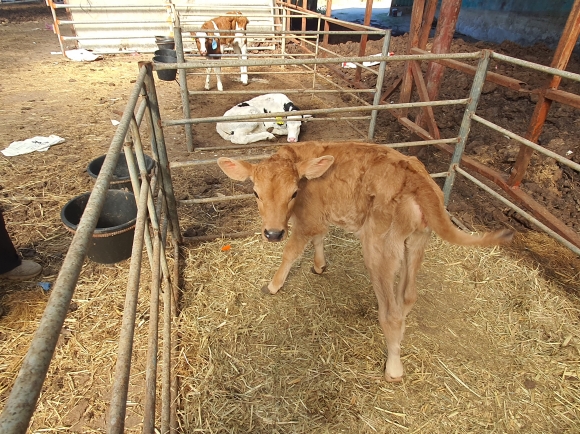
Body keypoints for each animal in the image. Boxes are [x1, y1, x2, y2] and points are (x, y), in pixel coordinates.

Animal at [216, 141, 512, 382]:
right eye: (256, 193)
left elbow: (291, 252)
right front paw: (319, 265)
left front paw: (274, 285)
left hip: (379, 248)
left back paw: (394, 367)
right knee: (408, 295)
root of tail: (415, 176)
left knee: (391, 314)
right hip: (416, 241)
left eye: (293, 193)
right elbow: (320, 239)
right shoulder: (319, 218)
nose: (273, 233)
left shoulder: (307, 219)